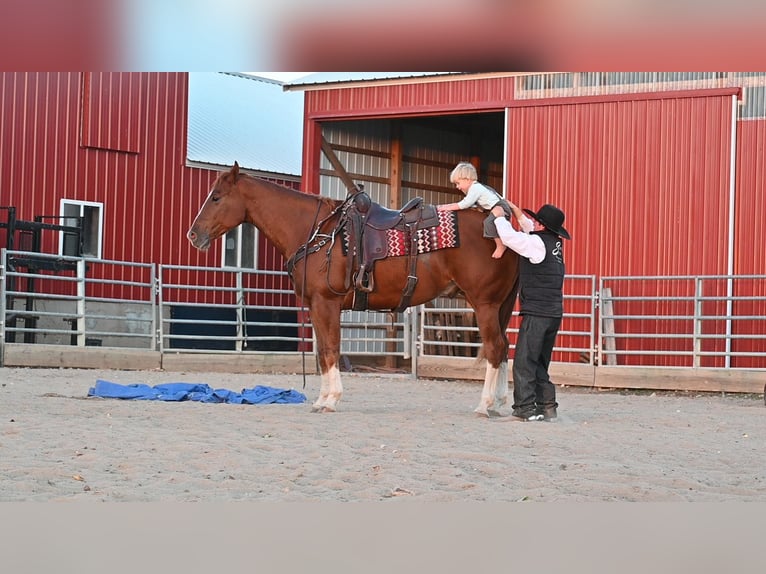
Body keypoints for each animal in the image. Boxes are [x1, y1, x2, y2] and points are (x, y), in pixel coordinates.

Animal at [188, 162, 520, 418]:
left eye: (216, 197)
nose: (193, 234)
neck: (318, 233)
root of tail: (501, 226)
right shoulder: (316, 306)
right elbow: (323, 351)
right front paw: (322, 398)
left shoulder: (327, 304)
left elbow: (331, 349)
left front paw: (331, 400)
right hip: (496, 306)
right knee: (503, 348)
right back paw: (498, 403)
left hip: (484, 304)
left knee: (494, 348)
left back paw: (484, 405)